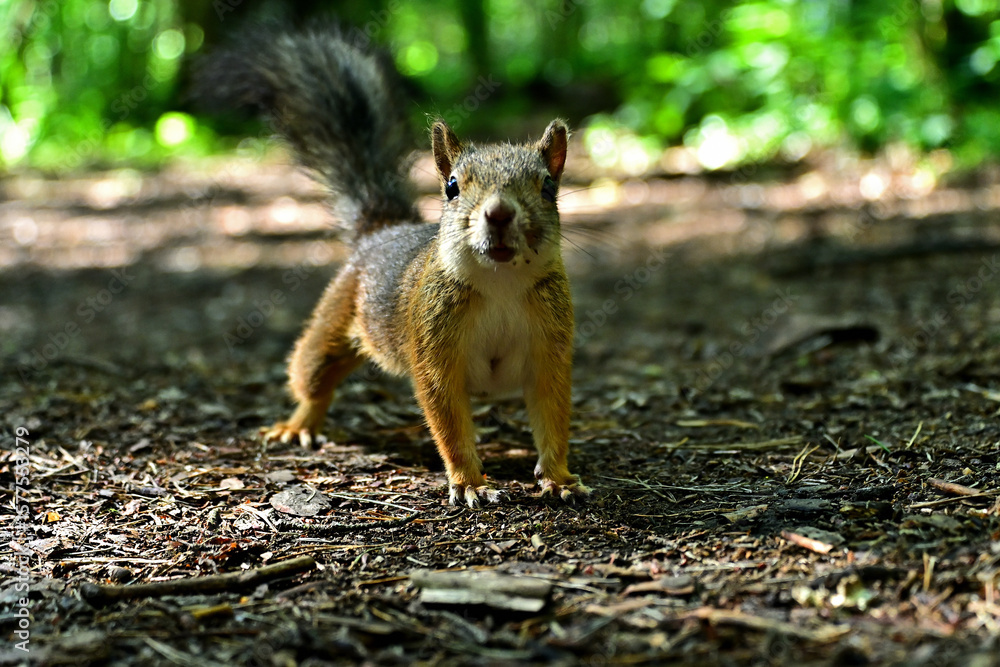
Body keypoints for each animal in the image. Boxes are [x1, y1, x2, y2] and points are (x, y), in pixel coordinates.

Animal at [197, 28, 590, 506]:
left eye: (548, 187)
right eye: (452, 186)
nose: (498, 214)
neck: (500, 282)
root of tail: (381, 233)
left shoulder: (550, 345)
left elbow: (552, 413)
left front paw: (559, 477)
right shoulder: (432, 345)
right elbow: (447, 419)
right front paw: (470, 482)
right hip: (336, 316)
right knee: (314, 377)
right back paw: (298, 424)